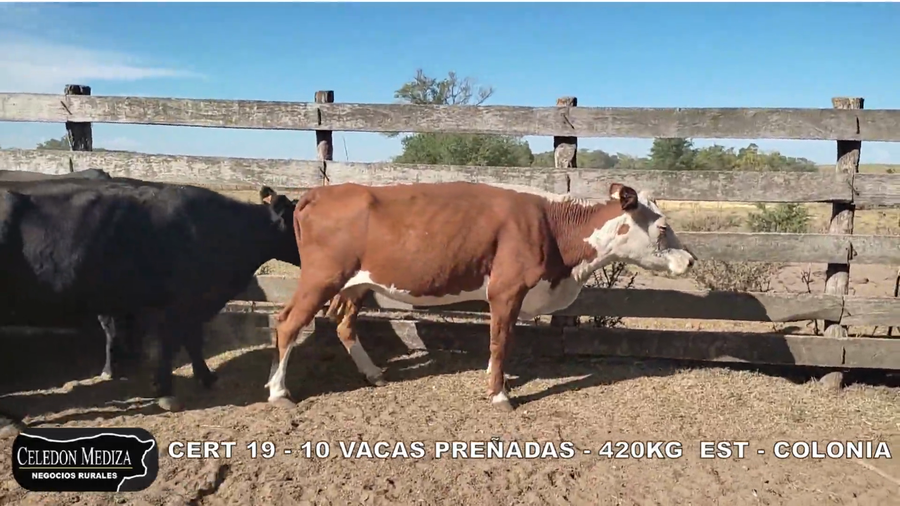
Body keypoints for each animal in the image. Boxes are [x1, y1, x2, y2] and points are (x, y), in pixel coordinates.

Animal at [264, 181, 696, 412]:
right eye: (663, 228)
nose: (691, 260)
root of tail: (320, 193)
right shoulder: (507, 289)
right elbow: (500, 342)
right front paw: (499, 395)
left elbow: (498, 344)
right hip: (321, 276)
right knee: (287, 322)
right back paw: (279, 392)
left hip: (356, 283)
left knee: (344, 323)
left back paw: (372, 373)